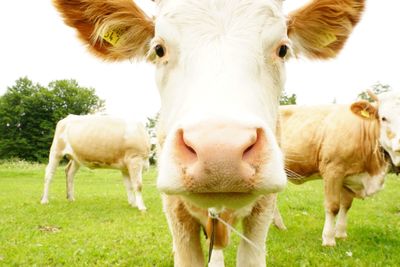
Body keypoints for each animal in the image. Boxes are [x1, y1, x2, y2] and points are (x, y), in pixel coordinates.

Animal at [276, 92, 400, 247]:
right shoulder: (333, 170)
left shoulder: (348, 178)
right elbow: (333, 206)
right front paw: (329, 239)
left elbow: (345, 205)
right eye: (383, 118)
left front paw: (341, 233)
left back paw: (279, 226)